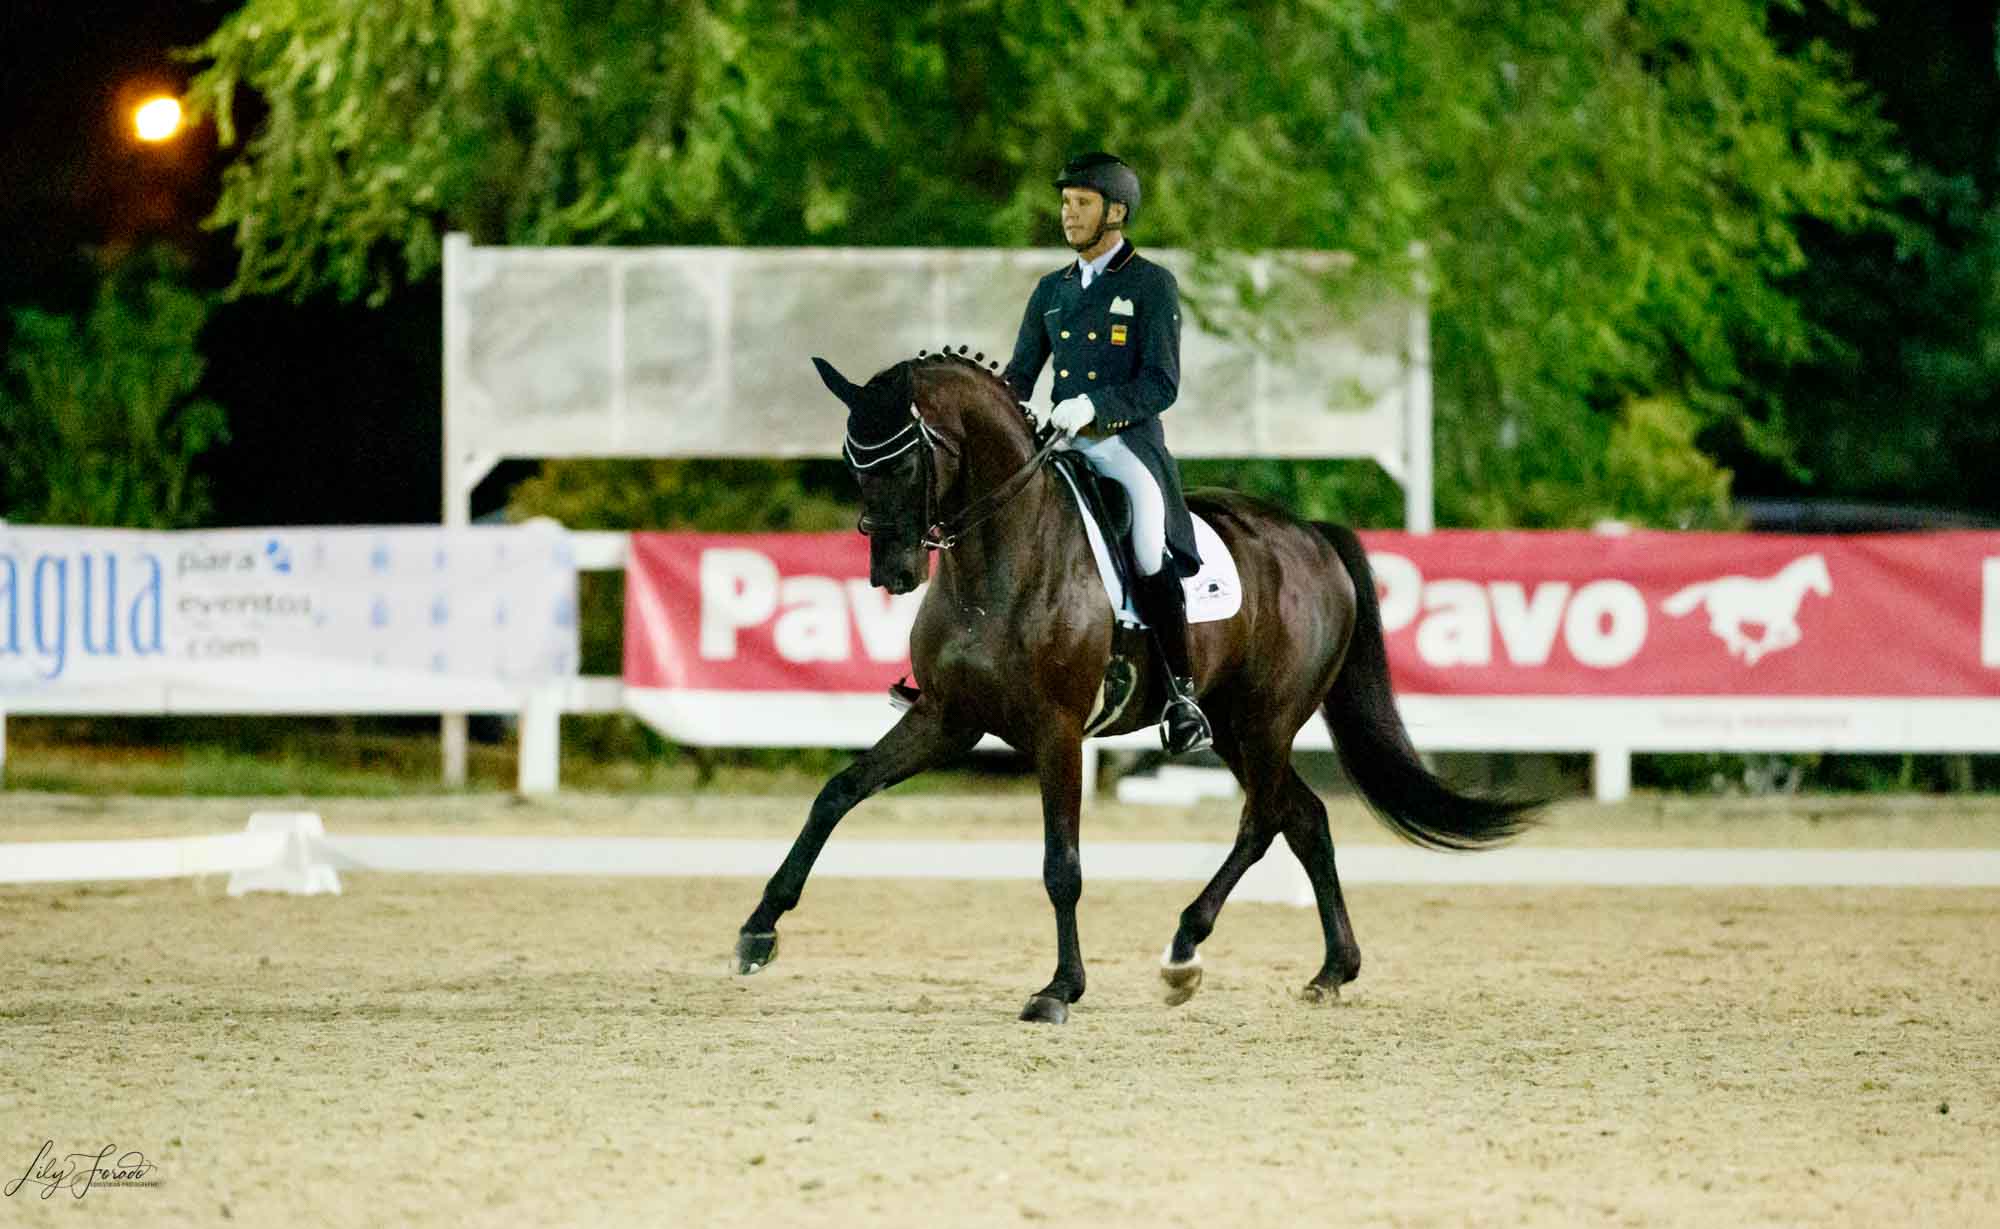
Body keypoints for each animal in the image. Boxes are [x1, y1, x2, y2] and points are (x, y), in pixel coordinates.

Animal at [736, 346, 1528, 1020]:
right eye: (852, 462)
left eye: (904, 461)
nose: (893, 572)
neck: (999, 557)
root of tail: (1310, 533)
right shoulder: (948, 718)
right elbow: (839, 792)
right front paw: (758, 931)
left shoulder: (1057, 730)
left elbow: (1062, 864)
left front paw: (1059, 989)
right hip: (1232, 727)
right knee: (1305, 819)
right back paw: (1332, 970)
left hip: (1265, 720)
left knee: (1264, 821)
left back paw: (1183, 949)